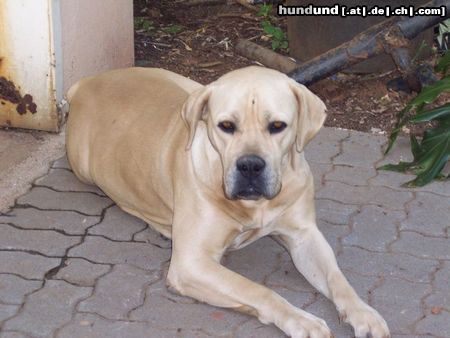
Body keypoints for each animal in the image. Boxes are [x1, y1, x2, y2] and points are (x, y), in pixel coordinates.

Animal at [66, 66, 390, 338]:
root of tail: (86, 82)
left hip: (190, 86)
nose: (250, 165)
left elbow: (338, 279)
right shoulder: (191, 263)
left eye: (277, 125)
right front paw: (301, 320)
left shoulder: (303, 236)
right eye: (226, 125)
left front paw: (364, 313)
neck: (255, 206)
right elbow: (257, 290)